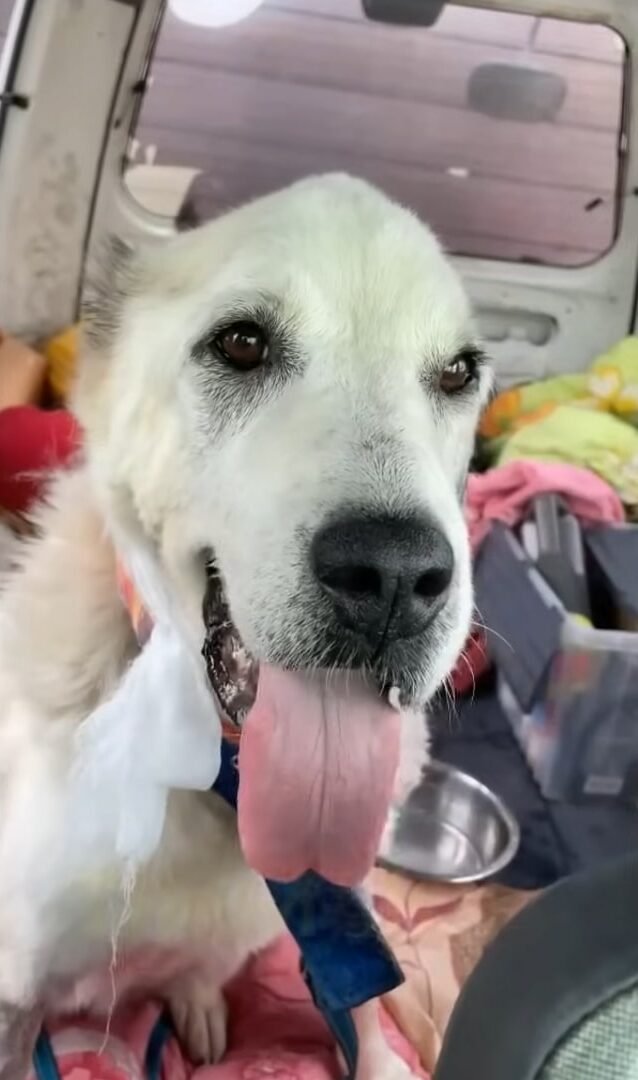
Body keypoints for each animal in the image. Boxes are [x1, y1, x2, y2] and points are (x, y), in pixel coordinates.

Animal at [0, 177, 492, 1080]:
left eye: (456, 373)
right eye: (240, 344)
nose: (396, 578)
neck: (221, 774)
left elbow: (356, 1003)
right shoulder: (17, 988)